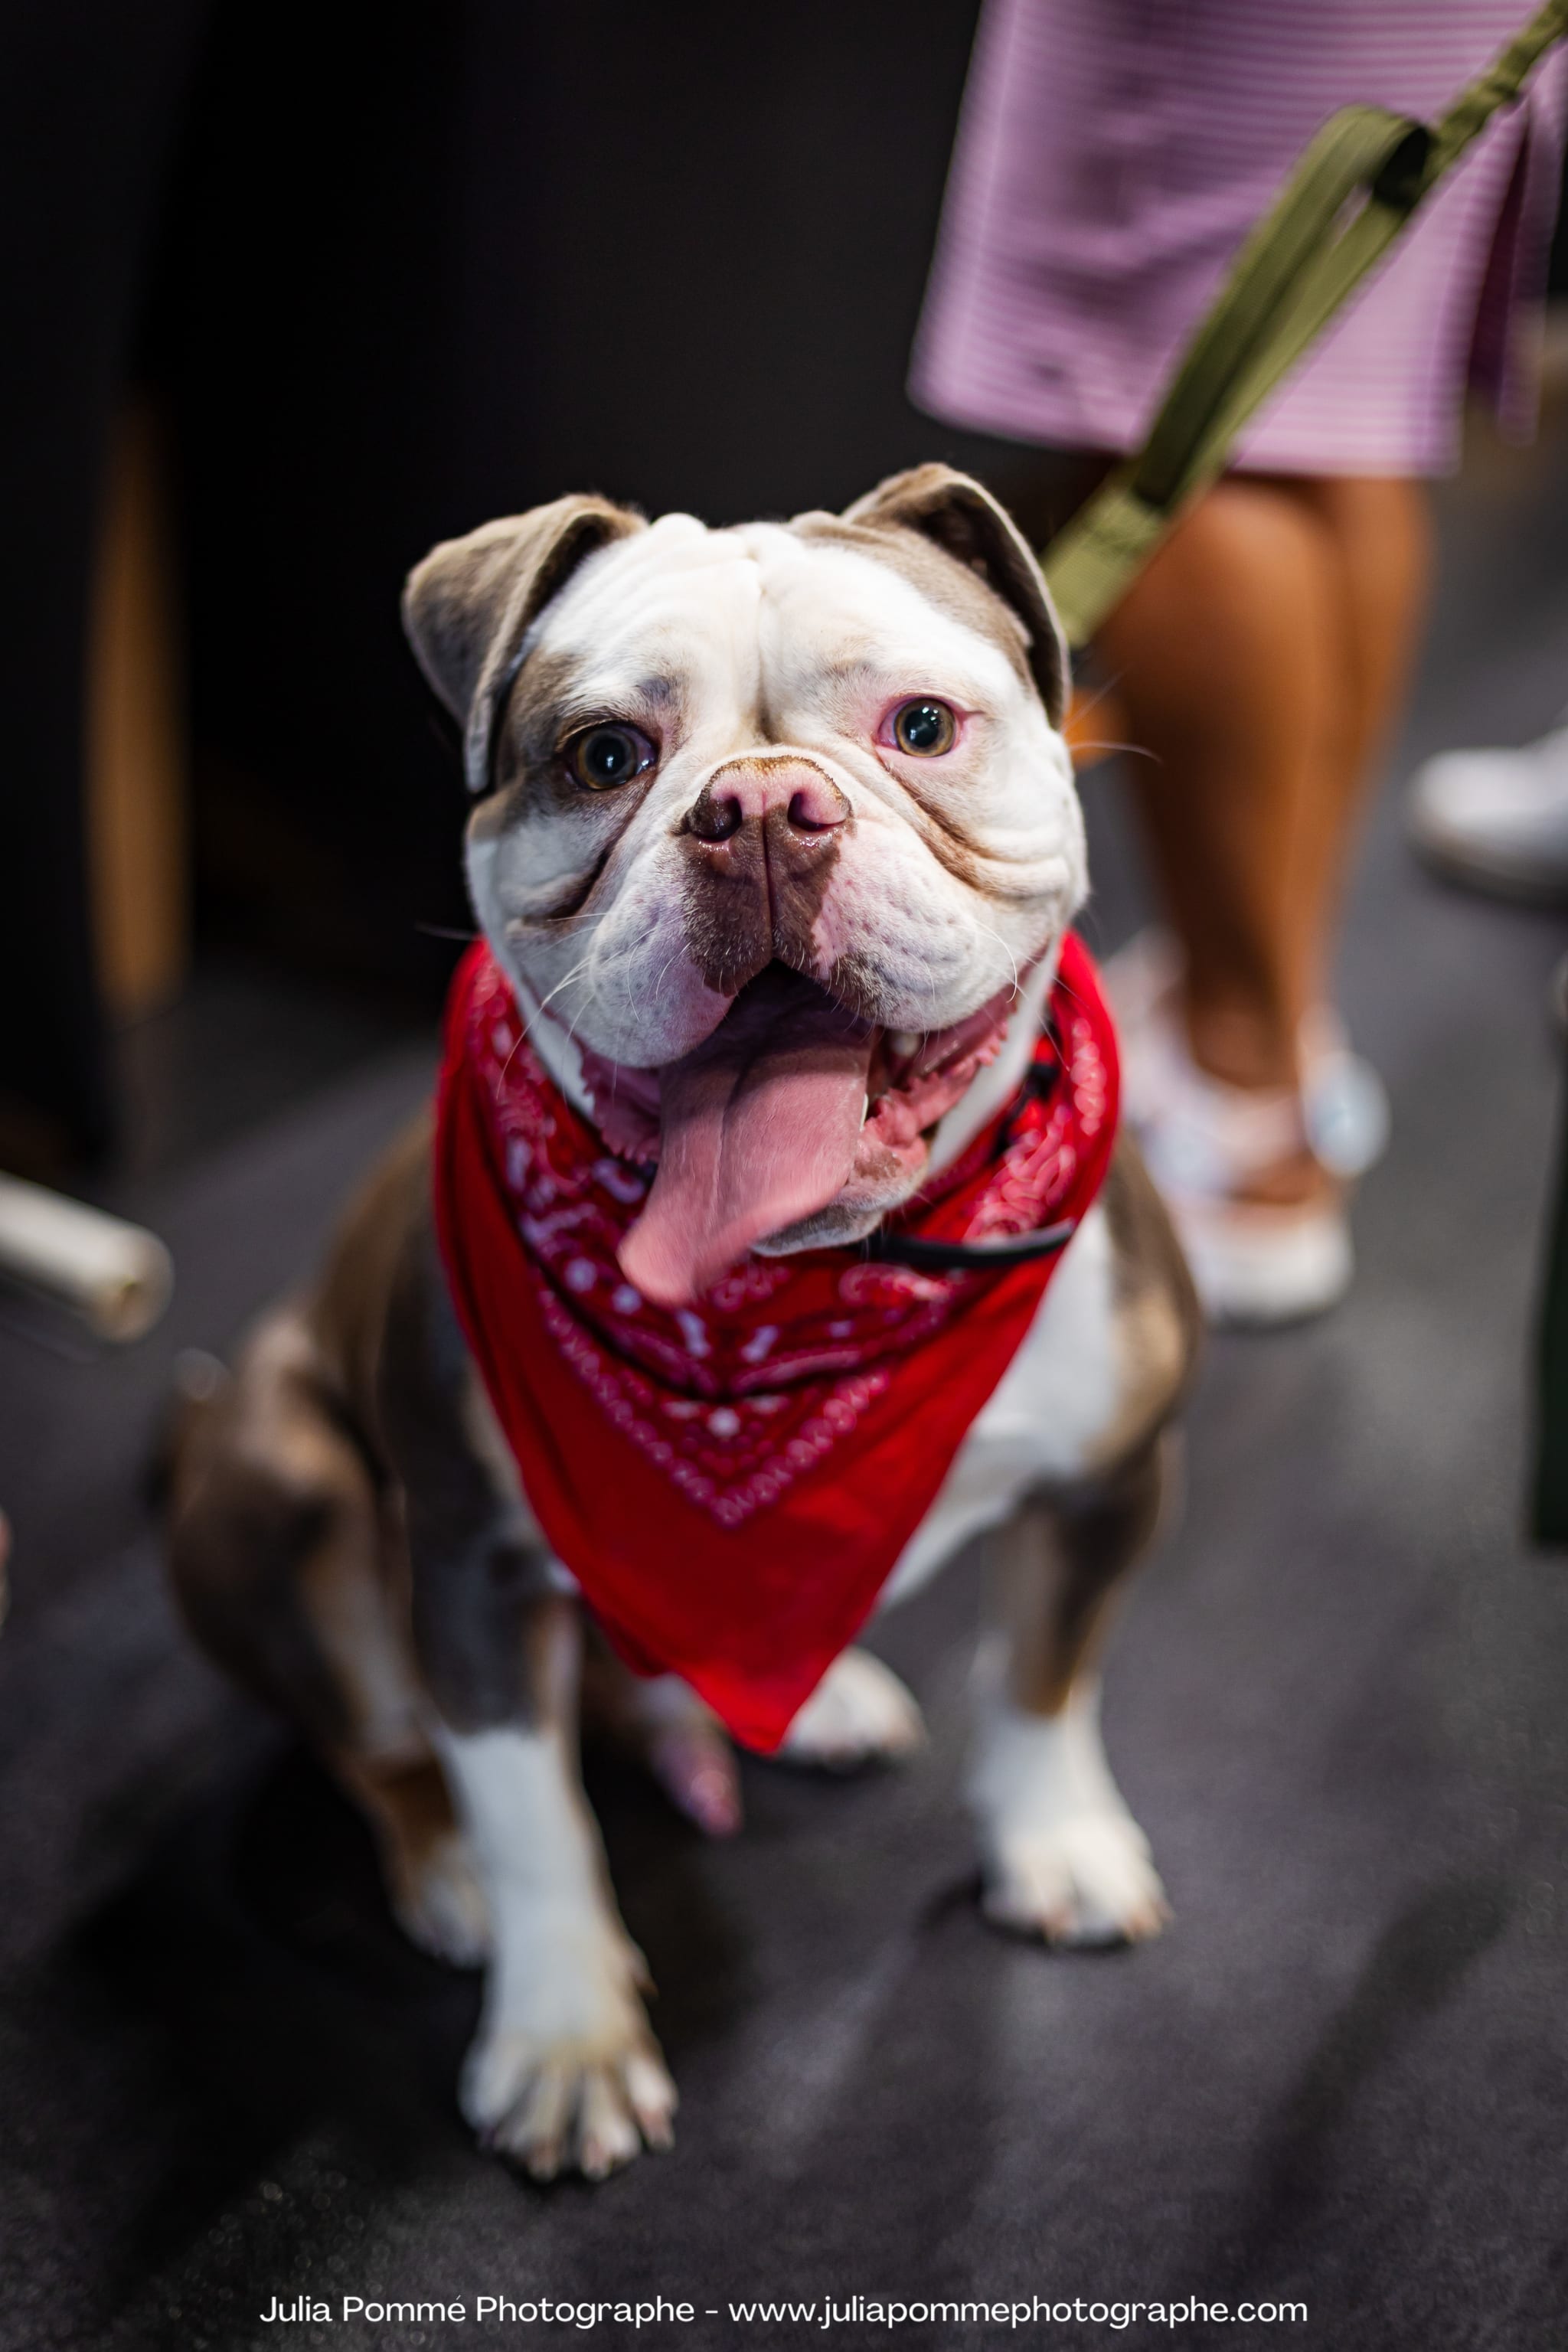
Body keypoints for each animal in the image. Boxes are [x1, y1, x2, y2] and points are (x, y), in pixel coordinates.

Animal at [165, 463, 1194, 2182]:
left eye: (922, 726)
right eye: (603, 757)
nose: (763, 808)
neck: (801, 1292)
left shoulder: (1111, 1477)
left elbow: (1047, 1674)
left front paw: (1053, 1841)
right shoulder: (470, 1562)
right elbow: (533, 1817)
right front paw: (563, 2033)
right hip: (288, 1485)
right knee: (382, 1742)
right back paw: (440, 1867)